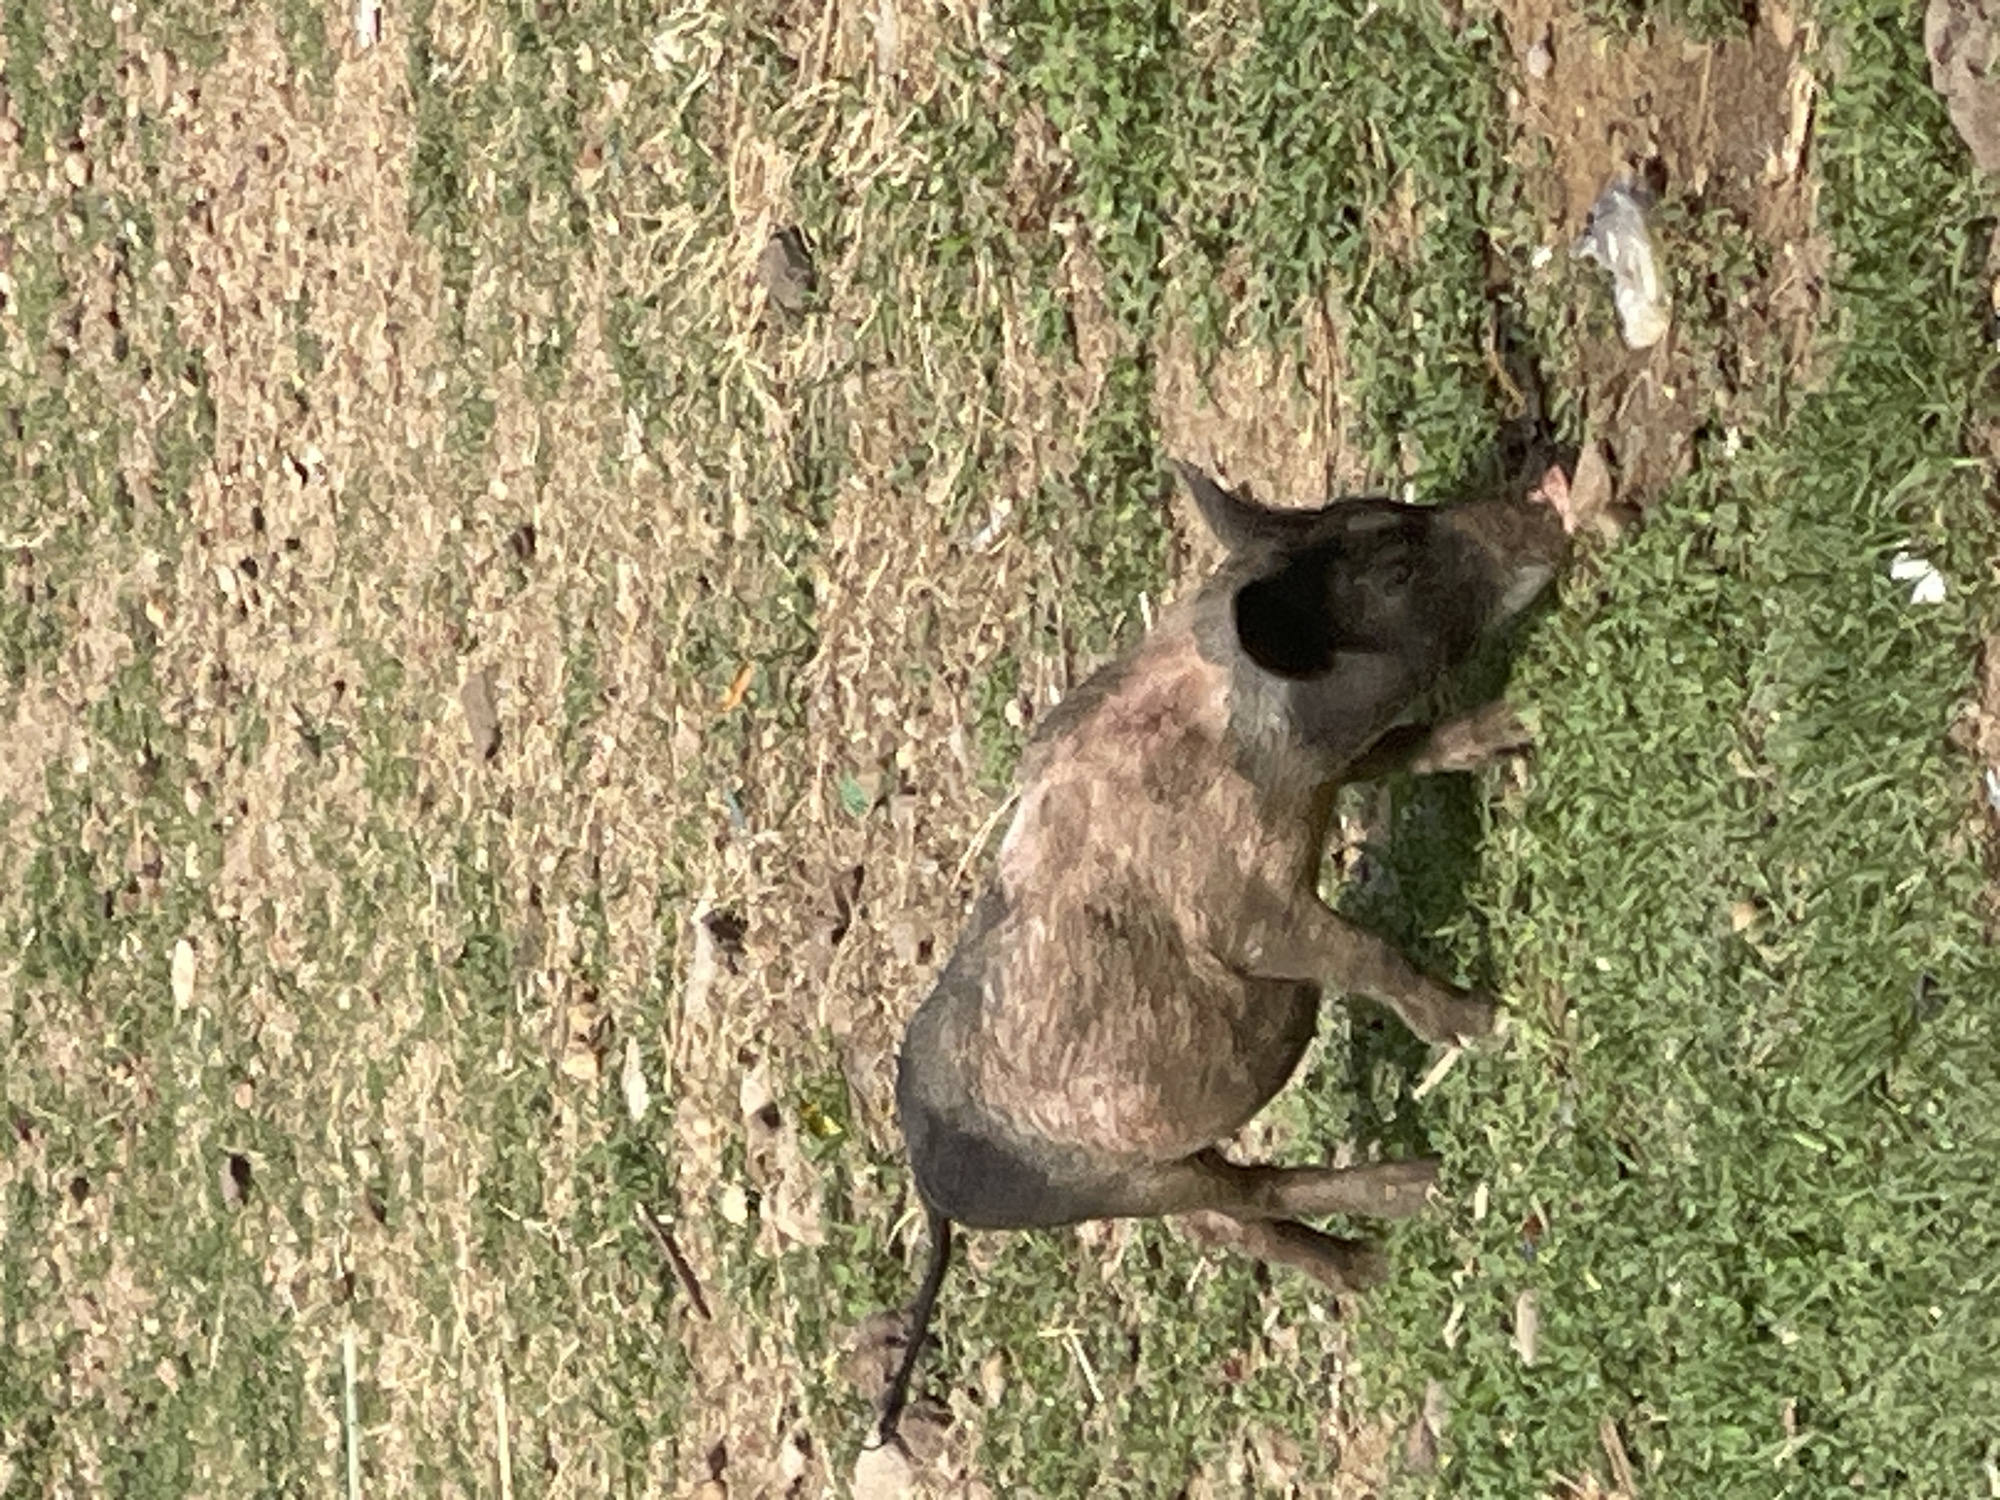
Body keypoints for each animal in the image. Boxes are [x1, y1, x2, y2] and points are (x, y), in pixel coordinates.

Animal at [874, 460, 1570, 1440]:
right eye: (1394, 571)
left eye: (1390, 509)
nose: (1541, 508)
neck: (1248, 732)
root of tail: (929, 1191)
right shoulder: (1253, 916)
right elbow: (1365, 957)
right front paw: (1485, 1024)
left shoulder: (1338, 776)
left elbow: (1407, 745)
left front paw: (1513, 726)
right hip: (1135, 1182)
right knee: (1254, 1198)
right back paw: (1407, 1213)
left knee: (1229, 1225)